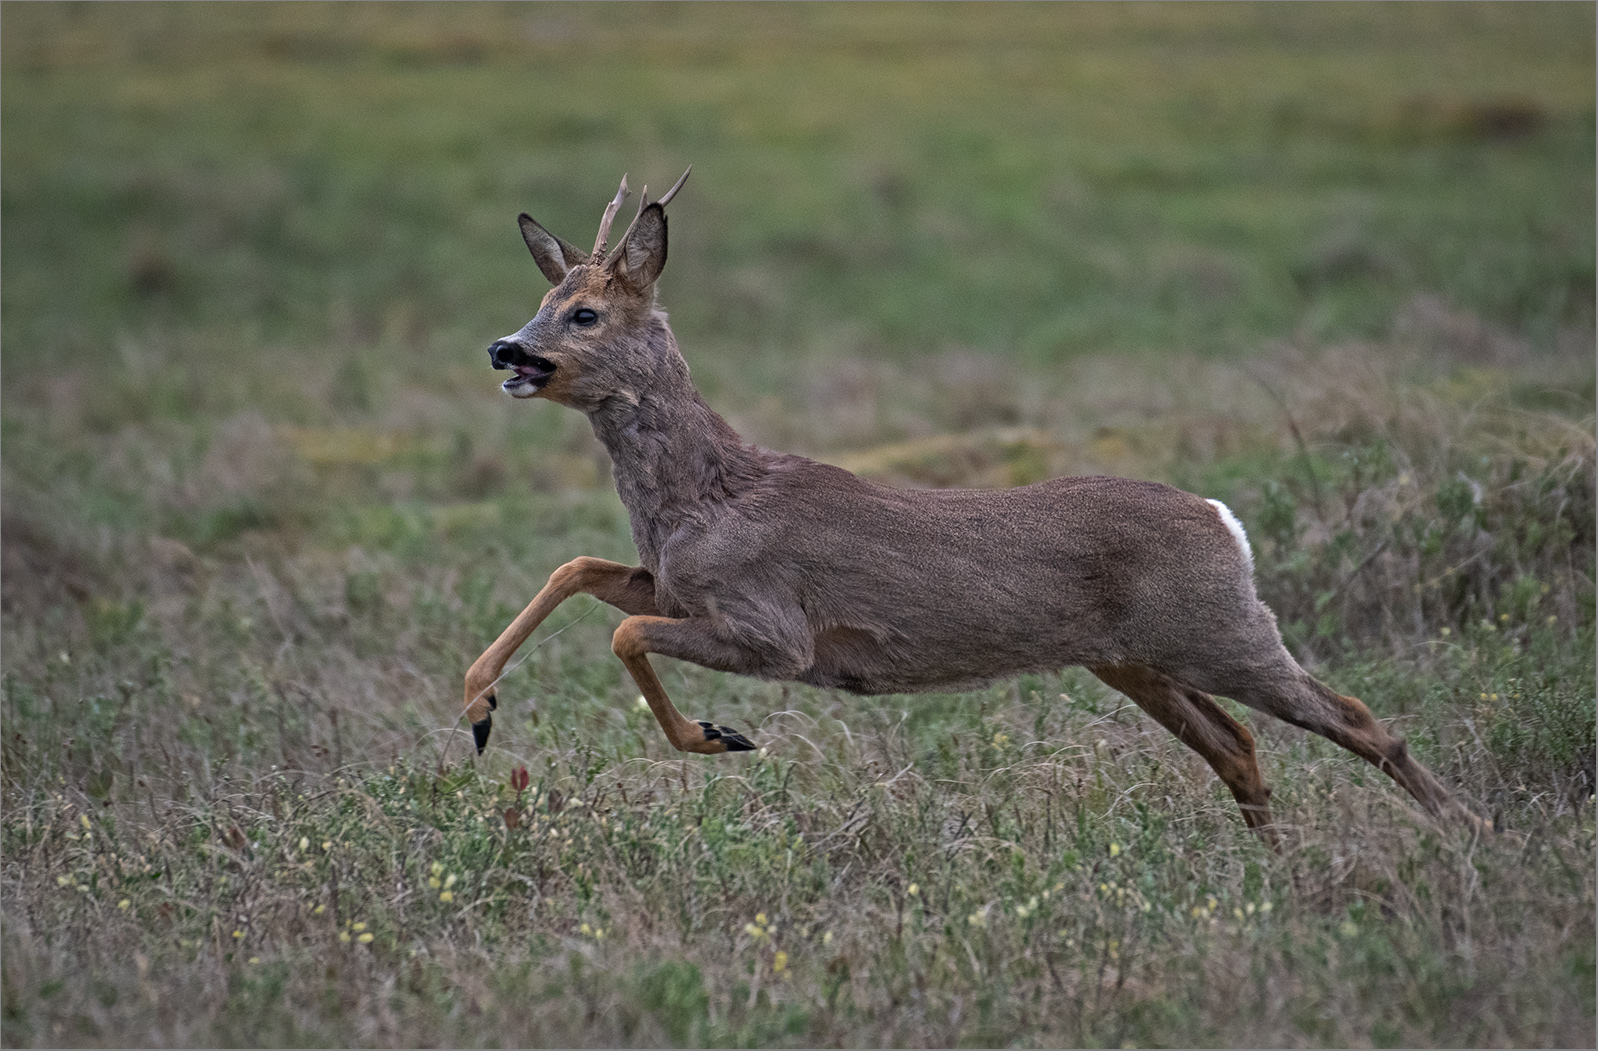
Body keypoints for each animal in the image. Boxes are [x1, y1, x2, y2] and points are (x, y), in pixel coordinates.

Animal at [463, 171, 1482, 843]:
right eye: (543, 296)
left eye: (587, 313)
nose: (504, 347)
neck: (707, 496)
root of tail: (1223, 518)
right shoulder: (677, 586)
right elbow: (578, 570)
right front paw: (478, 707)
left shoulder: (774, 627)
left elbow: (622, 630)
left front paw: (717, 735)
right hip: (1134, 656)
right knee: (1235, 744)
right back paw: (1271, 864)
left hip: (1219, 628)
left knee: (1356, 716)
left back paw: (1470, 834)